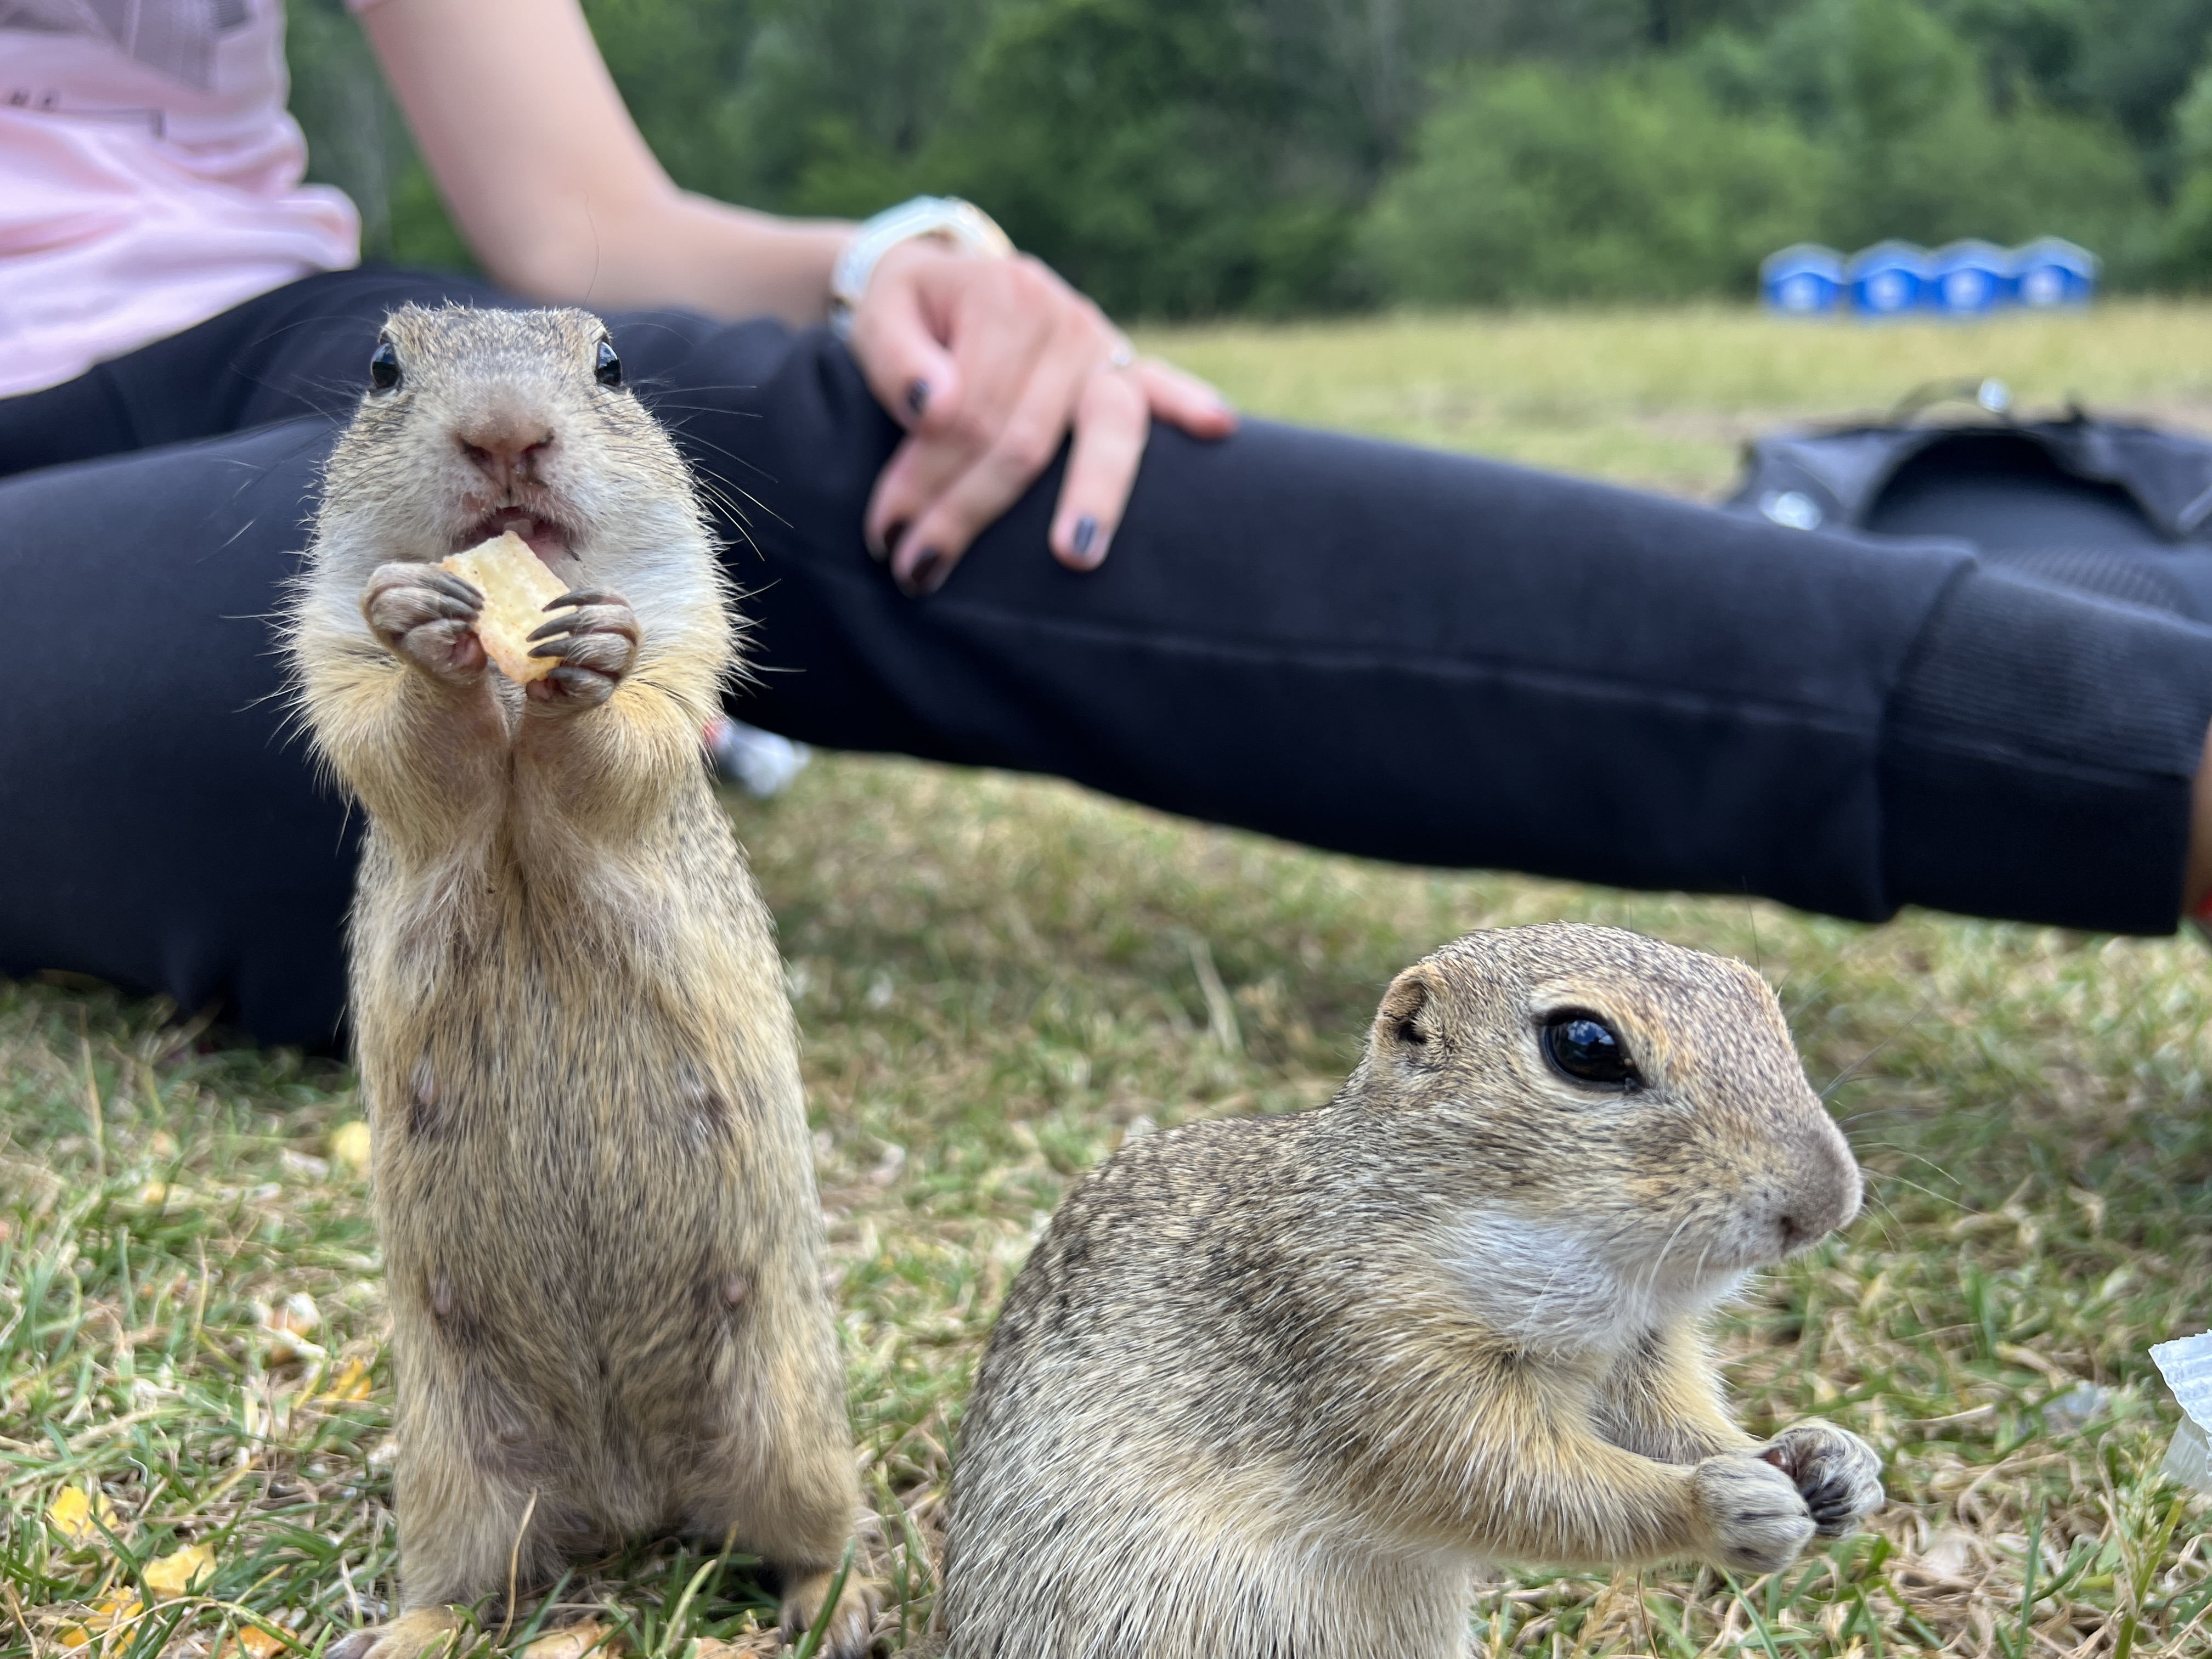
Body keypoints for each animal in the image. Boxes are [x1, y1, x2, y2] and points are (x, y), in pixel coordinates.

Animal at [286, 305, 870, 1659]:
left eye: (612, 365)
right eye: (382, 368)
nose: (506, 430)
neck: (511, 696)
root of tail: (630, 1494)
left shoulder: (688, 630)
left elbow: (630, 728)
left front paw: (590, 657)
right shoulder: (331, 649)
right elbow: (395, 730)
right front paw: (422, 630)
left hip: (796, 1423)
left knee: (808, 1532)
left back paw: (840, 1600)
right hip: (449, 1468)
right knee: (468, 1586)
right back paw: (404, 1630)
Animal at [940, 923, 1884, 1659]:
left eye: (1765, 1005)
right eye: (1585, 1046)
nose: (1828, 1203)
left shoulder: (1638, 1358)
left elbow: (1672, 1427)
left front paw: (1829, 1459)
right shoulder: (1365, 1350)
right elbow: (1510, 1482)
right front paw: (1720, 1503)